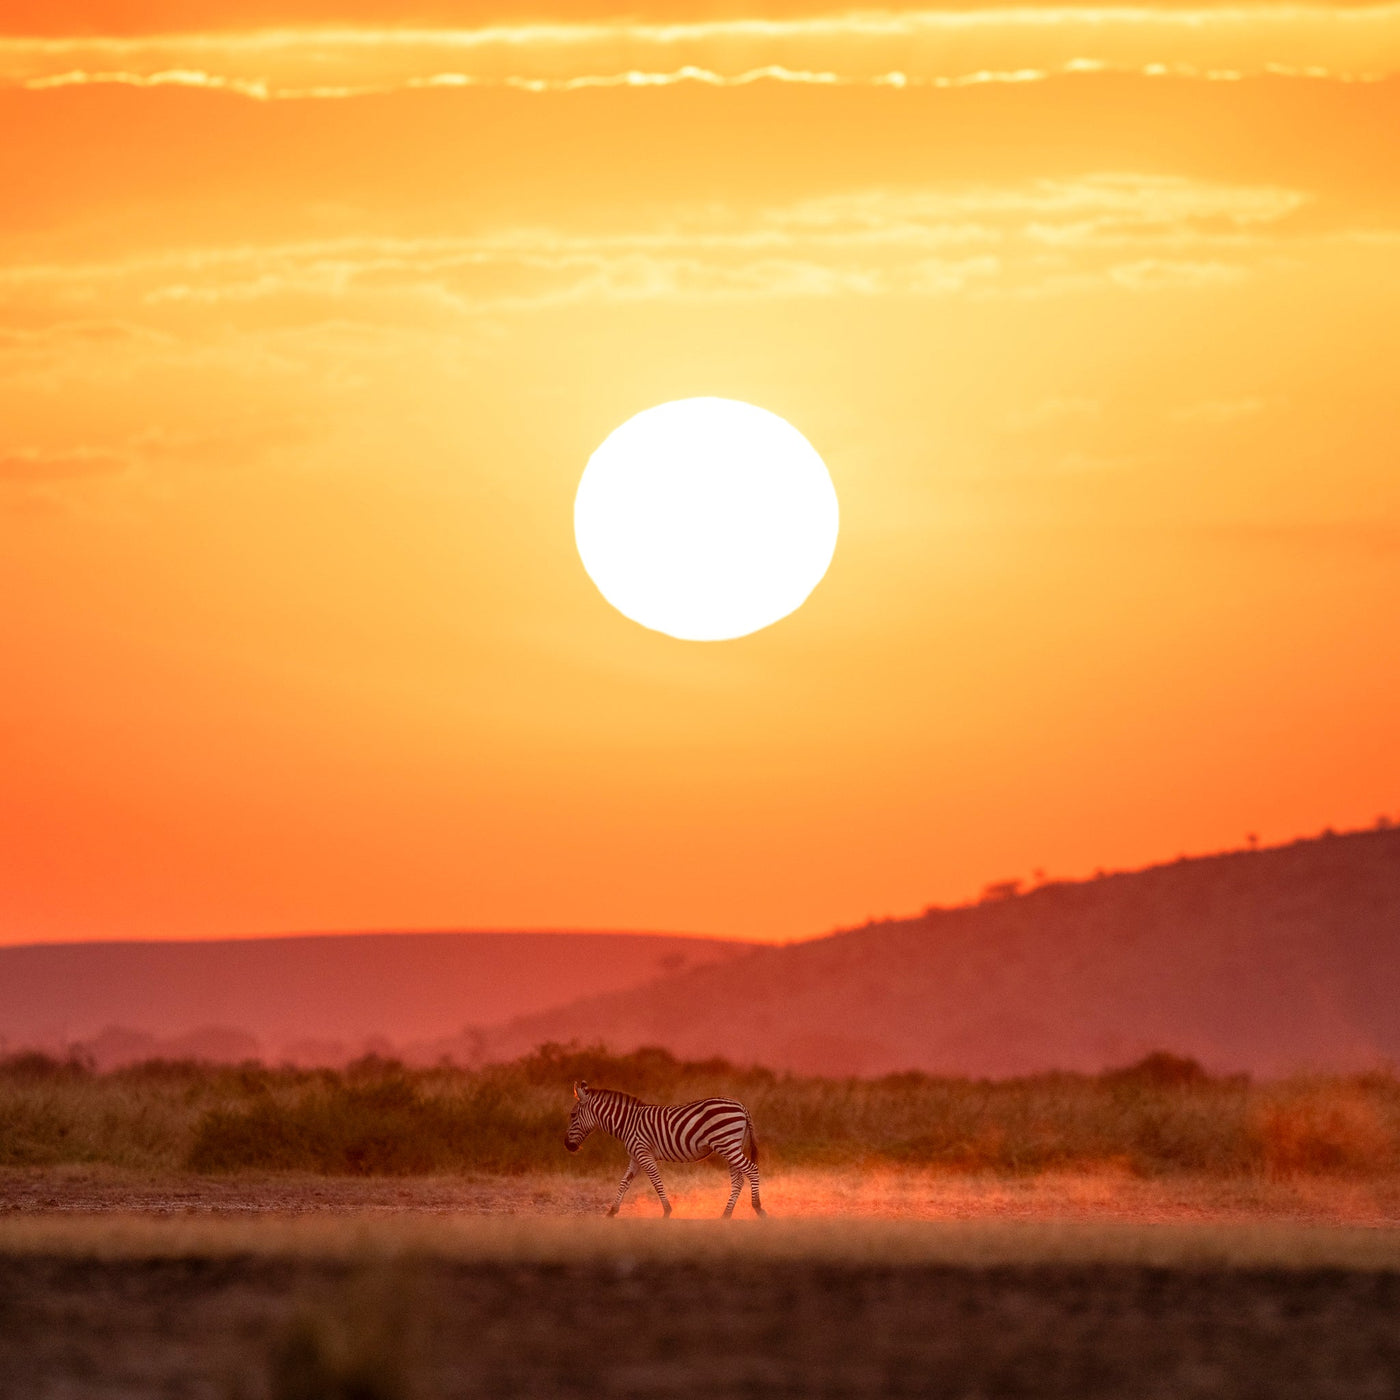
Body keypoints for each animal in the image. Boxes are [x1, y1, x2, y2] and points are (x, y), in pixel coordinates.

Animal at [564, 1080, 767, 1218]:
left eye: (573, 1115)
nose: (567, 1145)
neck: (627, 1123)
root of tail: (741, 1106)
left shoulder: (643, 1153)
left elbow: (656, 1181)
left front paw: (667, 1211)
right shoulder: (635, 1157)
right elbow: (624, 1183)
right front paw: (612, 1212)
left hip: (727, 1146)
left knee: (752, 1169)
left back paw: (758, 1208)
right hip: (731, 1147)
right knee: (738, 1180)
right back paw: (726, 1215)